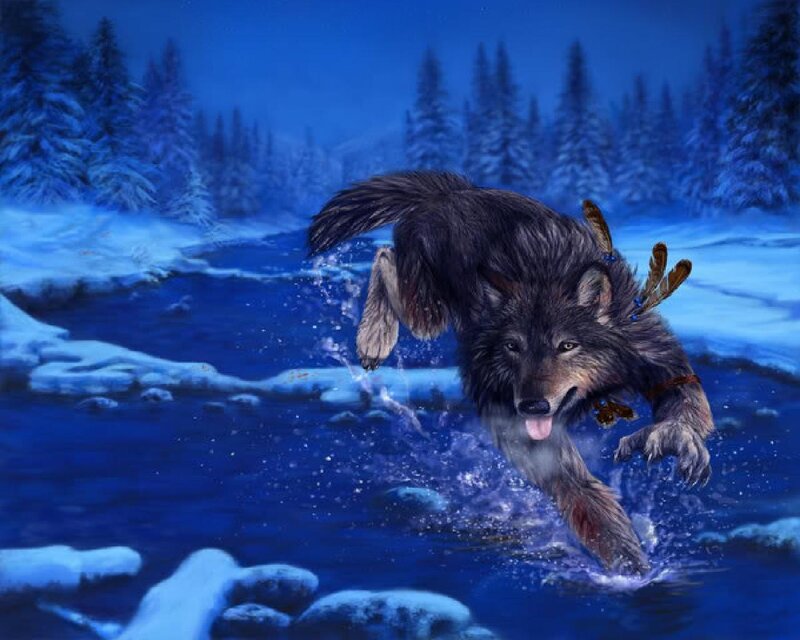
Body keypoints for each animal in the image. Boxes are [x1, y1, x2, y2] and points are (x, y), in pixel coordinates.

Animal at [308, 172, 714, 574]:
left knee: (384, 259)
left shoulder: (654, 354)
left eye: (567, 346)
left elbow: (685, 395)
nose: (532, 406)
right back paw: (373, 339)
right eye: (512, 347)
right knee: (383, 259)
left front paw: (673, 435)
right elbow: (581, 492)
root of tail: (453, 190)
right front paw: (629, 564)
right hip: (430, 313)